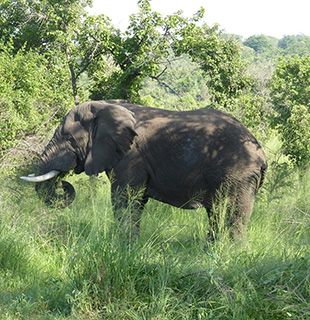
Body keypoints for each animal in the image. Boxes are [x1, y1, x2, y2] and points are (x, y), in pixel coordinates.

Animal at [21, 100, 266, 240]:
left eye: (69, 139)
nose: (64, 183)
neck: (106, 107)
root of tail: (261, 154)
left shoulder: (132, 156)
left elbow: (125, 198)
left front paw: (124, 245)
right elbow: (135, 202)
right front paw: (132, 245)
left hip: (238, 173)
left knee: (233, 213)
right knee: (217, 213)